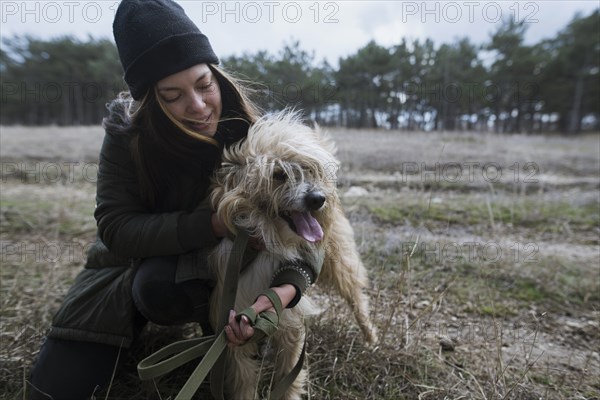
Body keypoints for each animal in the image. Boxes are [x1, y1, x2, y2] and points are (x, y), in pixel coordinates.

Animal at [206, 111, 376, 398]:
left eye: (309, 170)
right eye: (278, 174)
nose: (318, 199)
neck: (267, 242)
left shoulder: (289, 321)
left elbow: (289, 377)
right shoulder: (234, 327)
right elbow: (243, 380)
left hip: (340, 264)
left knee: (356, 297)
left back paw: (370, 337)